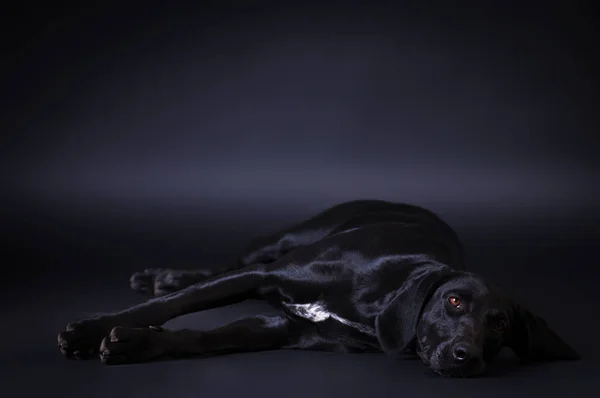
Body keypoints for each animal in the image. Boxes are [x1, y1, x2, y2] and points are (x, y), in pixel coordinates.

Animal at [58, 201, 580, 378]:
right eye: (454, 301)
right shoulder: (265, 278)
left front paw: (135, 345)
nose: (466, 357)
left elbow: (202, 338)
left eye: (499, 326)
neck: (376, 301)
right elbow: (175, 305)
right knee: (227, 265)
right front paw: (90, 330)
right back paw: (164, 275)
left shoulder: (280, 329)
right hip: (284, 240)